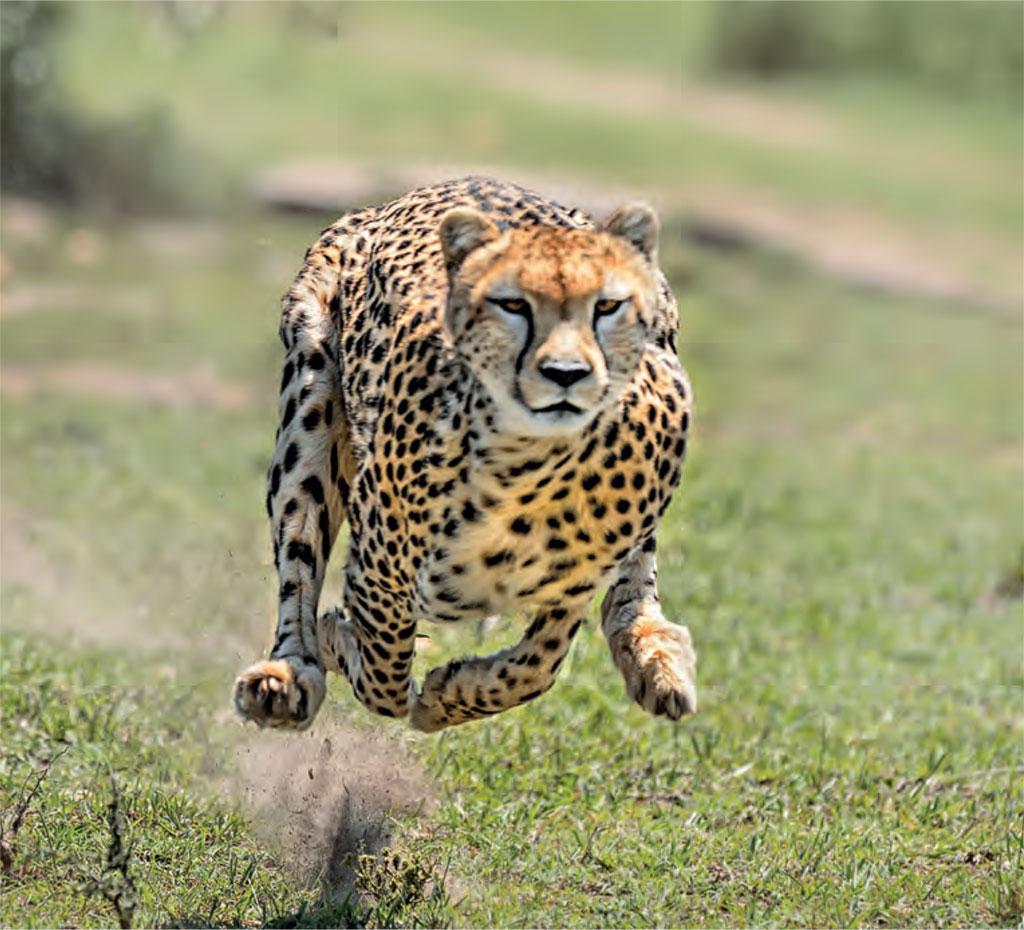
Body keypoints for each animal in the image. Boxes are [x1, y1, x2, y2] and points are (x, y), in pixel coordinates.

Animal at [233, 176, 696, 733]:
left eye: (606, 307)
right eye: (513, 305)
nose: (566, 373)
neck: (532, 470)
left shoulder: (574, 583)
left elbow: (537, 665)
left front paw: (448, 694)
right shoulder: (380, 567)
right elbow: (384, 671)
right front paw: (342, 644)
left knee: (634, 582)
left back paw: (656, 658)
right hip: (310, 402)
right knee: (299, 556)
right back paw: (287, 674)